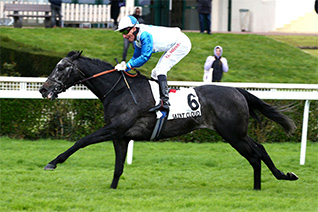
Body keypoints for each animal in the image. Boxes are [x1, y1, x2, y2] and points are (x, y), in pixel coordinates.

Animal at [39, 51, 298, 190]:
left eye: (60, 67)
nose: (43, 89)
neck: (121, 90)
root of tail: (237, 91)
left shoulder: (114, 128)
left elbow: (81, 141)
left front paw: (52, 162)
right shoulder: (121, 136)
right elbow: (118, 167)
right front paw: (112, 190)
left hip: (233, 134)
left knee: (254, 155)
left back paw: (264, 183)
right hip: (237, 133)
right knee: (259, 149)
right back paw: (279, 177)